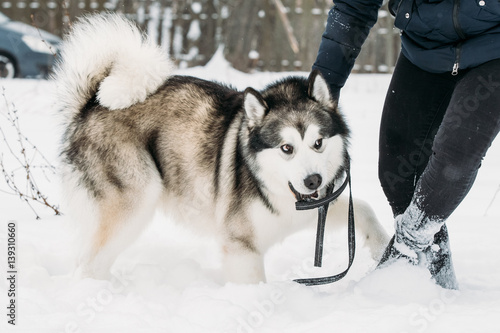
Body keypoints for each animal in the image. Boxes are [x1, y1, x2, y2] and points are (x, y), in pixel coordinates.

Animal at [55, 13, 390, 282]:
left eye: (317, 143)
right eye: (286, 148)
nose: (313, 181)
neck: (273, 185)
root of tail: (90, 105)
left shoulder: (314, 210)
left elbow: (364, 209)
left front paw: (384, 247)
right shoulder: (241, 244)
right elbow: (252, 285)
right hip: (137, 197)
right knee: (89, 263)